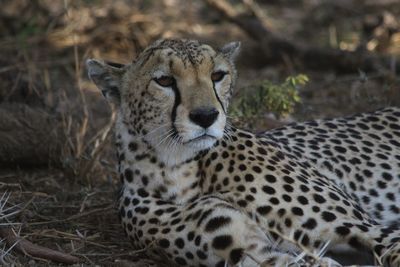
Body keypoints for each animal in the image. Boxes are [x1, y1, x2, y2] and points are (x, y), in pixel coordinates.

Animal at [87, 38, 400, 266]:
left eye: (217, 75)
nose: (205, 116)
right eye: (164, 80)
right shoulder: (256, 254)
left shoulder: (372, 230)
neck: (179, 168)